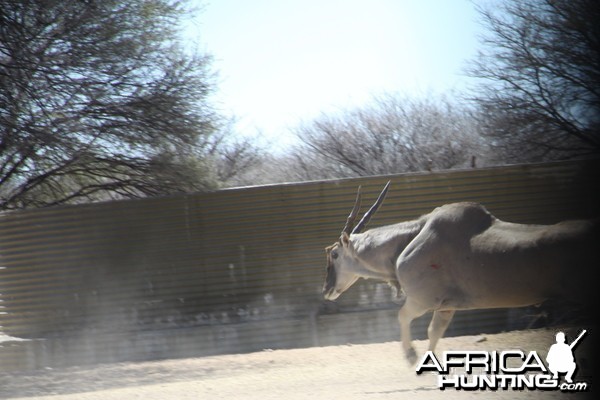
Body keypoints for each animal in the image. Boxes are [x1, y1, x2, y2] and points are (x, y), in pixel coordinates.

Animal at [324, 183, 596, 364]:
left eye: (334, 254)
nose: (326, 290)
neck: (414, 236)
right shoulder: (445, 308)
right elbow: (434, 332)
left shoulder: (421, 302)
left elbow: (402, 317)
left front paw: (411, 356)